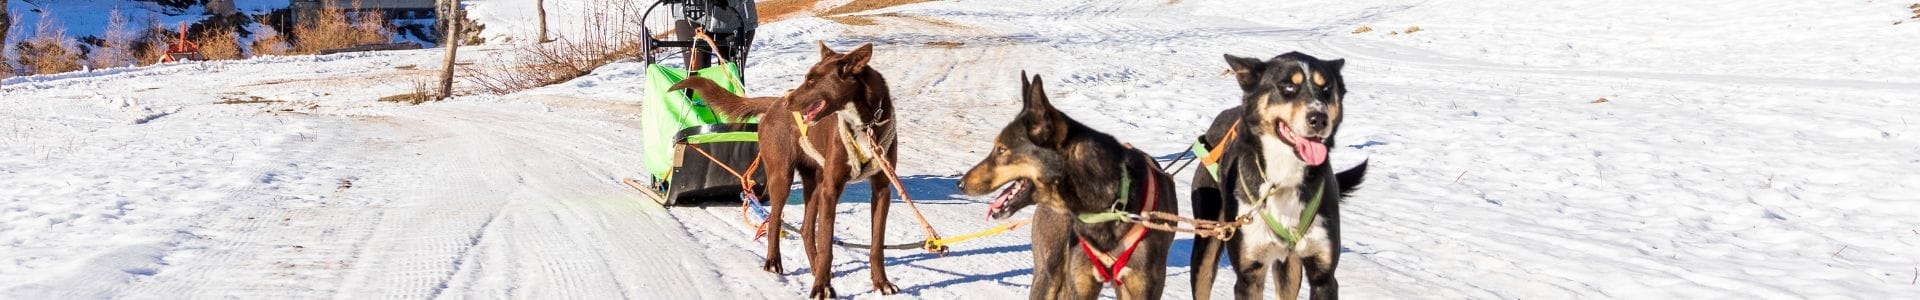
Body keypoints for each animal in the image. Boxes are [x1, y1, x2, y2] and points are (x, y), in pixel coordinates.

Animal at [668, 42, 898, 300]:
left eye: (812, 81)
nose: (789, 102)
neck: (865, 125)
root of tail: (774, 103)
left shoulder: (881, 190)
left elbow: (876, 244)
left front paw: (881, 283)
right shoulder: (831, 189)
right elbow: (826, 244)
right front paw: (822, 287)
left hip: (815, 181)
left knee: (806, 229)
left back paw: (815, 267)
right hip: (782, 177)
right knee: (775, 220)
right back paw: (773, 262)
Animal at [1190, 52, 1374, 300]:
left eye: (1326, 88)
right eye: (1288, 87)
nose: (1319, 118)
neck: (1284, 178)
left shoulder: (1323, 276)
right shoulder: (1249, 276)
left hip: (1291, 265)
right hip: (1207, 240)